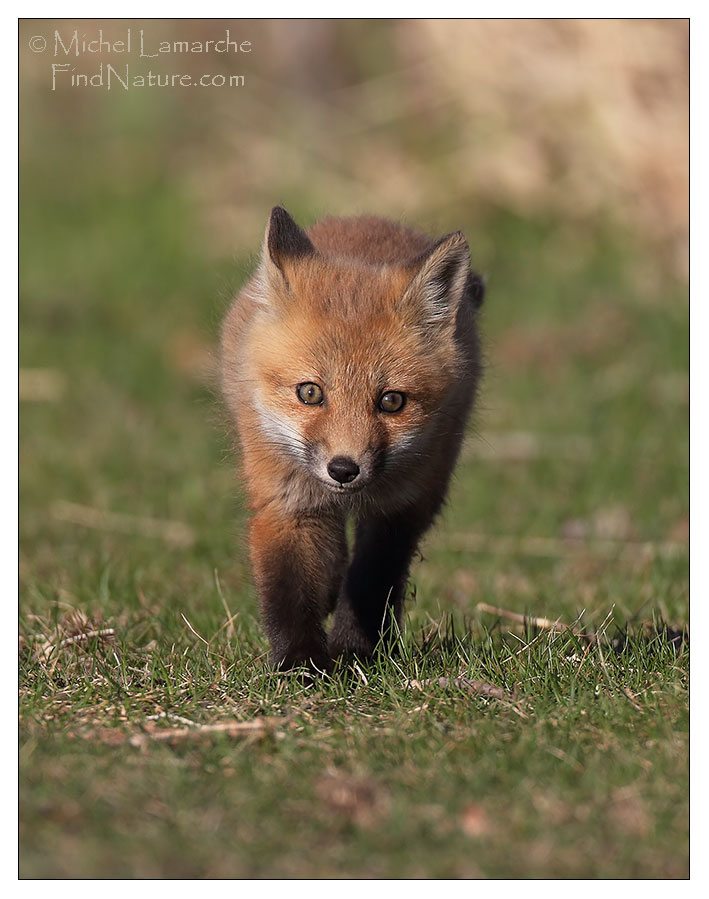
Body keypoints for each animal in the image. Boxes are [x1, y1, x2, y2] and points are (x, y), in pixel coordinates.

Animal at [221, 207, 484, 672]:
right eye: (310, 393)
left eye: (392, 401)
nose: (343, 469)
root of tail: (366, 219)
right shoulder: (285, 500)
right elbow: (288, 587)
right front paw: (301, 665)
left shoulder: (400, 508)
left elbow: (371, 581)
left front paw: (354, 653)